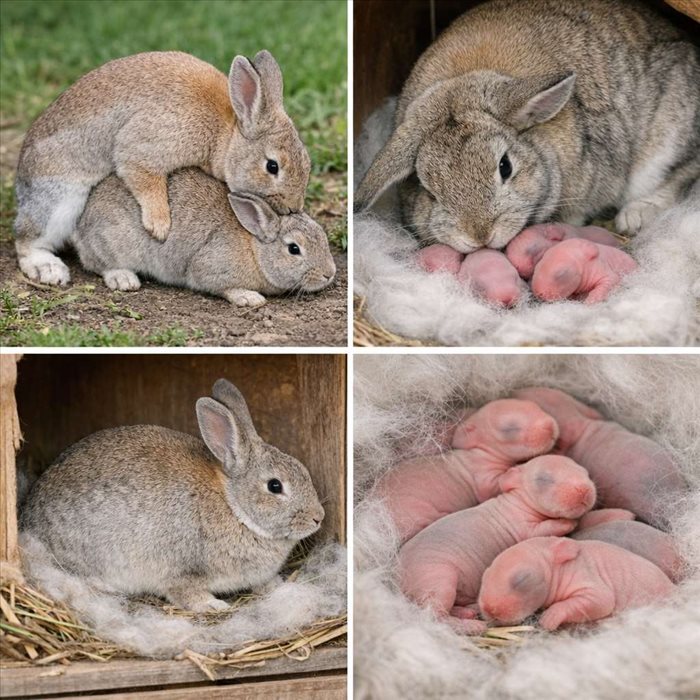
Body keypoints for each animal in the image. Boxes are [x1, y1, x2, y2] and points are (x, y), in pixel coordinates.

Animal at [14, 49, 311, 285]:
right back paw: (49, 269)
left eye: (307, 162)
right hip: (61, 201)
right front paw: (159, 225)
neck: (224, 134)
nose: (294, 207)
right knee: (27, 241)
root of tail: (21, 181)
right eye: (272, 166)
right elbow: (143, 175)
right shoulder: (146, 145)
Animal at [20, 379, 325, 612]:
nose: (318, 518)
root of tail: (27, 519)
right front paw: (213, 605)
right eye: (275, 486)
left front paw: (281, 585)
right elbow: (185, 593)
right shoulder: (180, 571)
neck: (234, 508)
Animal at [71, 168, 336, 307]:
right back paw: (123, 279)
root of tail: (82, 221)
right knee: (96, 263)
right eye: (294, 249)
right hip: (112, 241)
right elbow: (221, 287)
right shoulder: (208, 270)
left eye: (322, 235)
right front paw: (250, 298)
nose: (329, 274)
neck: (256, 251)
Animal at [355, 0, 700, 253]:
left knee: (682, 173)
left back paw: (633, 217)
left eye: (505, 167)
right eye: (427, 190)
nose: (480, 235)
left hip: (667, 139)